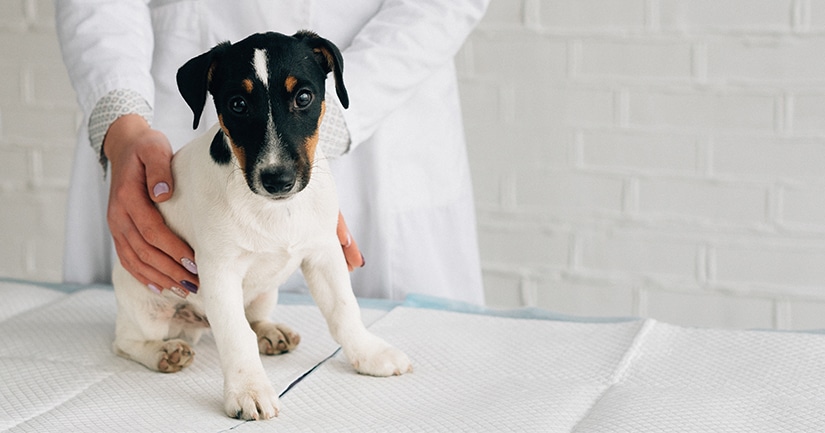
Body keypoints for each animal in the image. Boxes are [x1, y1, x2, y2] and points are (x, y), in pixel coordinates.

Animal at [111, 29, 412, 418]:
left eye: (303, 97)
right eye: (238, 104)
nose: (277, 179)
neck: (275, 209)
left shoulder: (324, 253)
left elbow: (344, 309)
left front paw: (369, 353)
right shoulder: (219, 272)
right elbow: (237, 336)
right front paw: (248, 390)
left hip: (266, 292)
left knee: (254, 319)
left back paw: (270, 332)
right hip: (146, 304)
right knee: (125, 342)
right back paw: (162, 351)